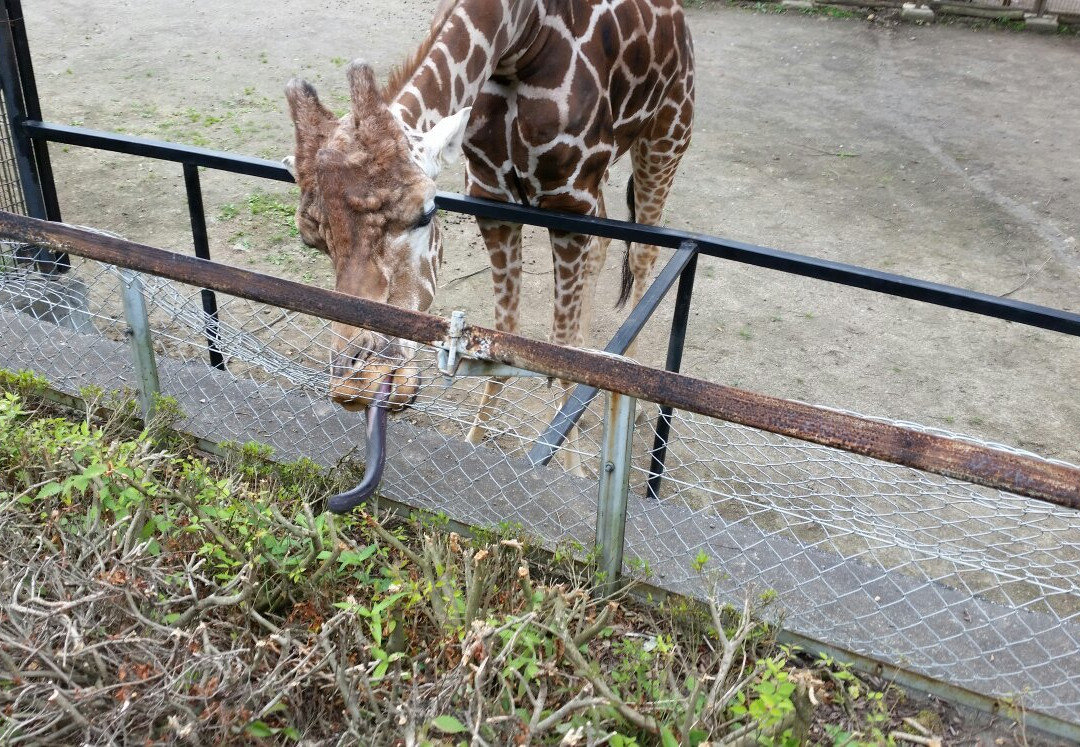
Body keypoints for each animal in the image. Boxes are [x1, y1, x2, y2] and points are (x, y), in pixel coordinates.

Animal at [285, 0, 691, 466]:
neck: (520, 37)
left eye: (426, 213)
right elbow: (503, 328)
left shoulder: (568, 205)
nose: (358, 388)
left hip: (666, 138)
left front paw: (569, 468)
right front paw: (476, 440)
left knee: (642, 257)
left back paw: (634, 404)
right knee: (603, 247)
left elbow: (557, 344)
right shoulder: (493, 201)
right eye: (313, 240)